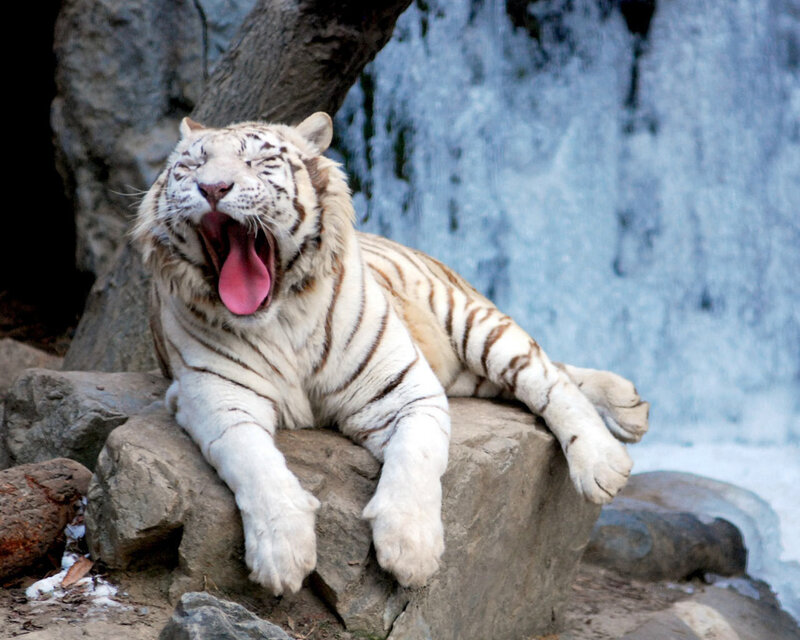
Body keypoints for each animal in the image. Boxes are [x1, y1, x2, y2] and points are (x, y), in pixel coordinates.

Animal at [132, 112, 649, 596]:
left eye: (258, 162)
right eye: (191, 165)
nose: (212, 187)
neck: (279, 317)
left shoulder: (404, 388)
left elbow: (417, 457)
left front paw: (411, 550)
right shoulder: (216, 399)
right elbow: (254, 463)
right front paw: (282, 554)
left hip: (470, 322)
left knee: (545, 375)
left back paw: (605, 458)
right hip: (465, 374)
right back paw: (630, 404)